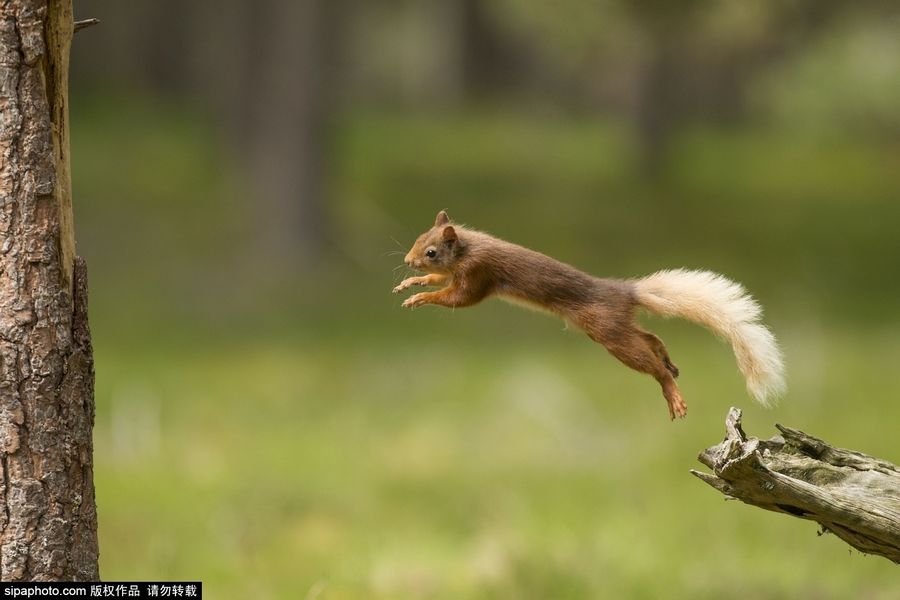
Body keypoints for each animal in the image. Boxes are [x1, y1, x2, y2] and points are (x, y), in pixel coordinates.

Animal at [390, 213, 784, 420]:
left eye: (431, 250)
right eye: (418, 238)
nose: (408, 260)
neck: (470, 247)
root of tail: (623, 292)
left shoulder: (477, 275)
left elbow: (457, 297)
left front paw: (420, 296)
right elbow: (442, 283)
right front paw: (412, 283)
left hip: (608, 331)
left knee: (648, 361)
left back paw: (672, 392)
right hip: (614, 327)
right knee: (650, 337)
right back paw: (667, 359)